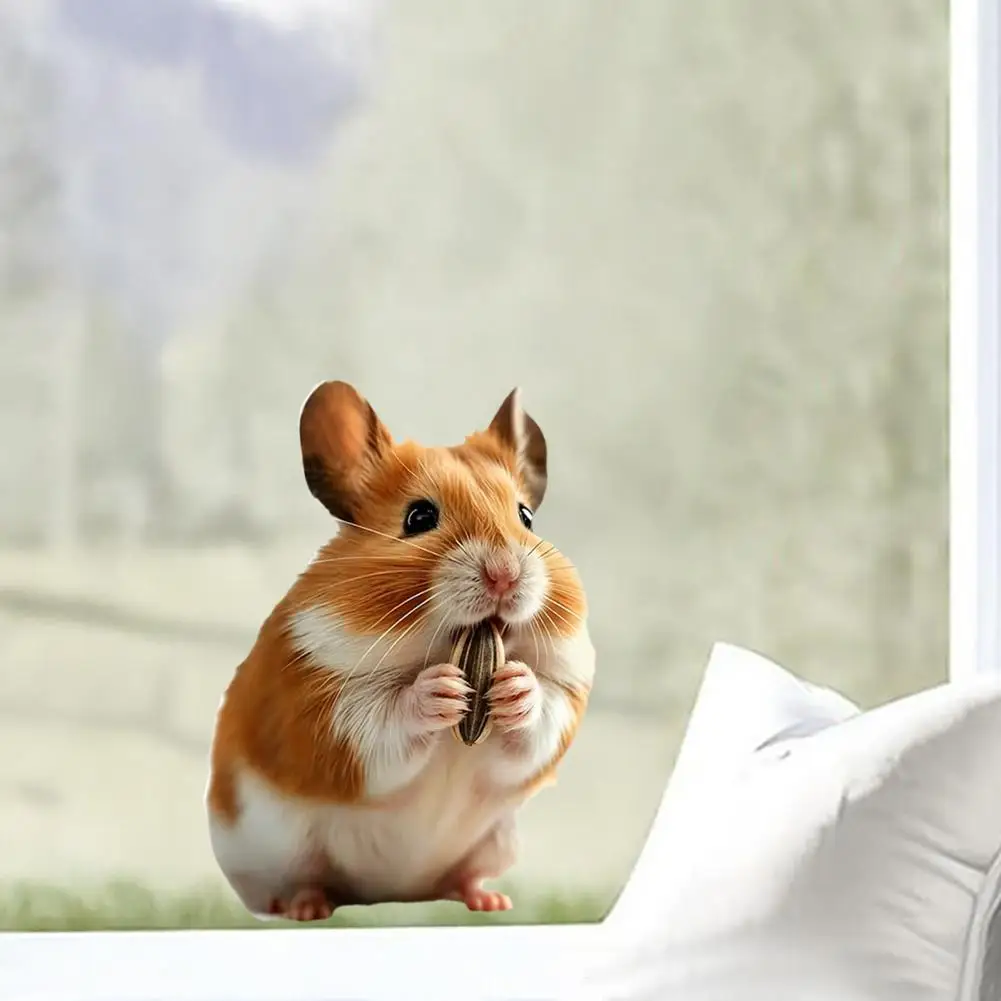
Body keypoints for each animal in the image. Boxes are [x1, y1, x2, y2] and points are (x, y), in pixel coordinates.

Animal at [206, 381, 595, 920]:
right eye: (419, 516)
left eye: (526, 517)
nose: (506, 575)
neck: (441, 646)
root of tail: (395, 890)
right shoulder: (322, 711)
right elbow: (384, 720)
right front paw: (440, 690)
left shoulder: (565, 695)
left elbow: (540, 717)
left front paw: (515, 686)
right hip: (275, 852)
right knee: (305, 882)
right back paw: (307, 908)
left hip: (498, 842)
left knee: (462, 878)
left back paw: (491, 901)